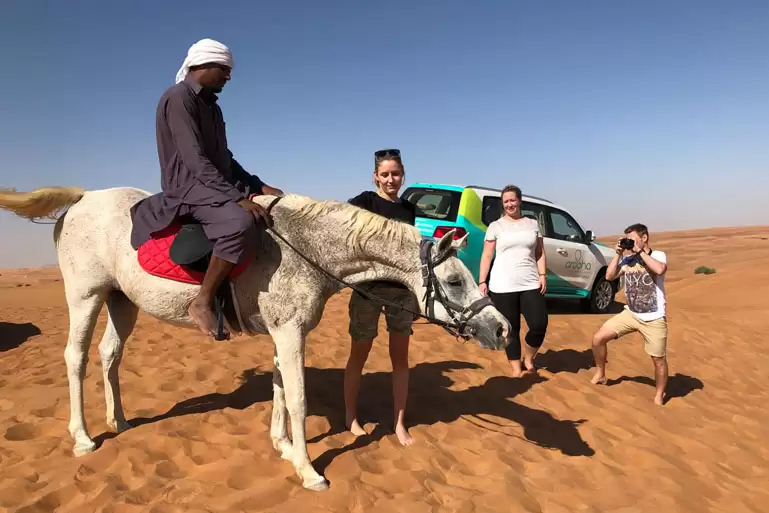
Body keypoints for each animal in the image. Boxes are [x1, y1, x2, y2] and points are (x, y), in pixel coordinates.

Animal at [0, 186, 510, 490]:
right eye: (456, 280)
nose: (501, 329)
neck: (304, 248)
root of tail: (82, 199)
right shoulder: (289, 332)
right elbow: (297, 397)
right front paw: (307, 470)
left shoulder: (284, 333)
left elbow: (281, 388)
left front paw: (282, 447)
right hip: (85, 297)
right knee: (76, 358)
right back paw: (83, 437)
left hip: (120, 302)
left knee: (110, 355)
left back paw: (120, 422)